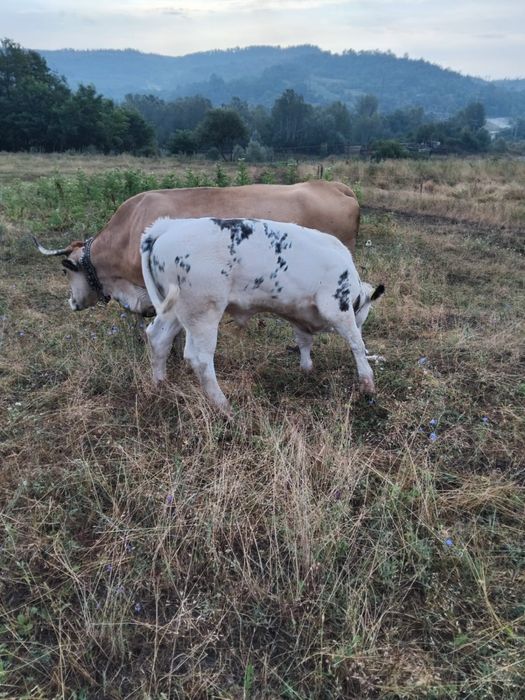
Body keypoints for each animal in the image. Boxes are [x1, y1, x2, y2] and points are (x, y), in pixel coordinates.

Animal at [140, 217, 384, 415]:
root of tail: (168, 226)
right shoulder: (336, 307)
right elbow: (356, 344)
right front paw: (368, 384)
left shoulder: (299, 314)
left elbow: (304, 342)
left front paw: (307, 369)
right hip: (203, 312)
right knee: (199, 358)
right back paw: (223, 405)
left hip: (175, 310)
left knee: (158, 338)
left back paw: (160, 385)